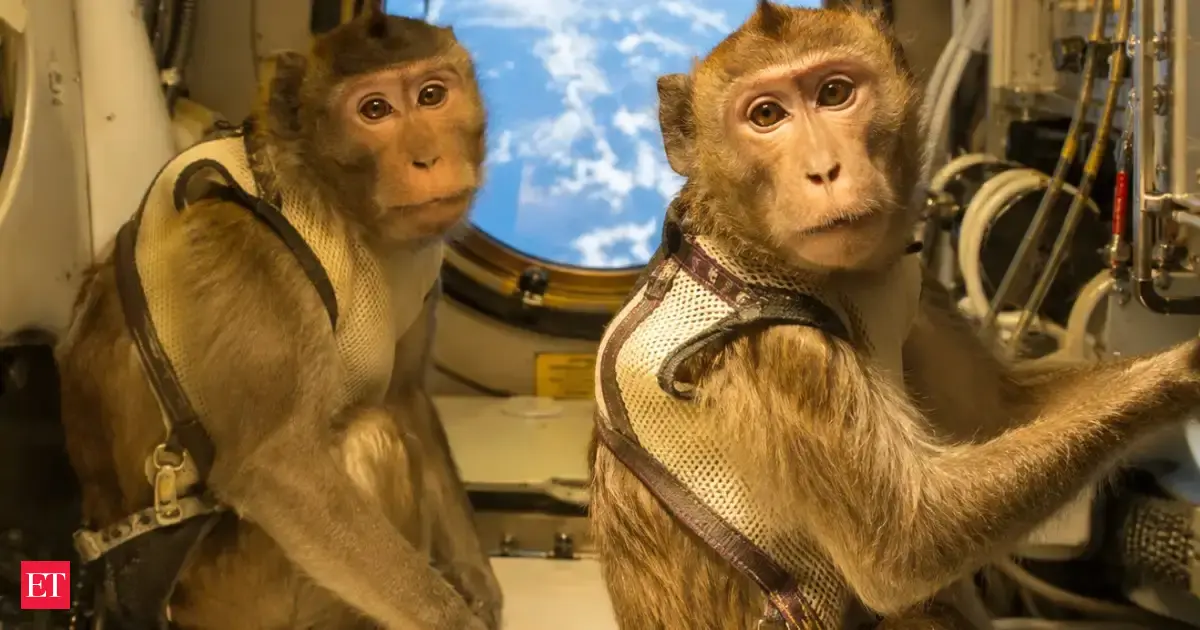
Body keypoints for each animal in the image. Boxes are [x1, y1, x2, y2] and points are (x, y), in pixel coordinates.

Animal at [55, 6, 501, 630]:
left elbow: (407, 394)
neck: (330, 200)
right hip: (238, 597)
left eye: (432, 95)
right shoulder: (251, 251)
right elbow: (278, 467)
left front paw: (480, 584)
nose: (428, 157)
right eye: (375, 110)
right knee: (370, 440)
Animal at [588, 3, 1200, 629]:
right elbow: (907, 548)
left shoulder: (918, 285)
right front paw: (1186, 371)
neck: (755, 256)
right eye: (766, 115)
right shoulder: (782, 354)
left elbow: (999, 411)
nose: (823, 170)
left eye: (834, 93)